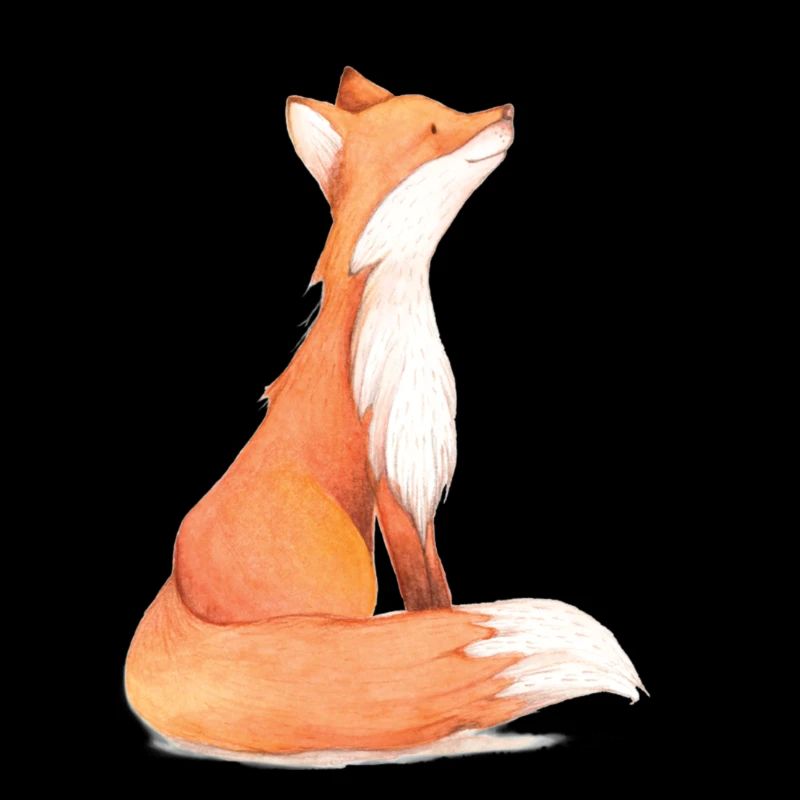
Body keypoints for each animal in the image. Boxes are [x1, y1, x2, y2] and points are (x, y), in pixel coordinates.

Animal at [125, 67, 644, 762]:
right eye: (433, 129)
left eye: (449, 108)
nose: (508, 110)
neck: (396, 318)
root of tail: (174, 597)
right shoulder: (396, 476)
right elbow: (427, 600)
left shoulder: (419, 483)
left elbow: (439, 591)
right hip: (344, 564)